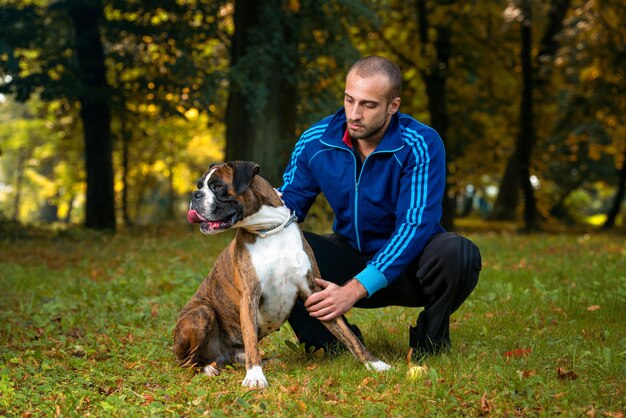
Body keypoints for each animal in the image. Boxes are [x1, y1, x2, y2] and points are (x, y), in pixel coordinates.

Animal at [173, 161, 388, 388]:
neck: (268, 230)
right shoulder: (249, 296)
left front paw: (374, 363)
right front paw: (255, 376)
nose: (196, 194)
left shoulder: (315, 292)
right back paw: (208, 368)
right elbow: (251, 339)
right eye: (200, 185)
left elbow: (347, 333)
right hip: (202, 312)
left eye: (216, 186)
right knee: (188, 362)